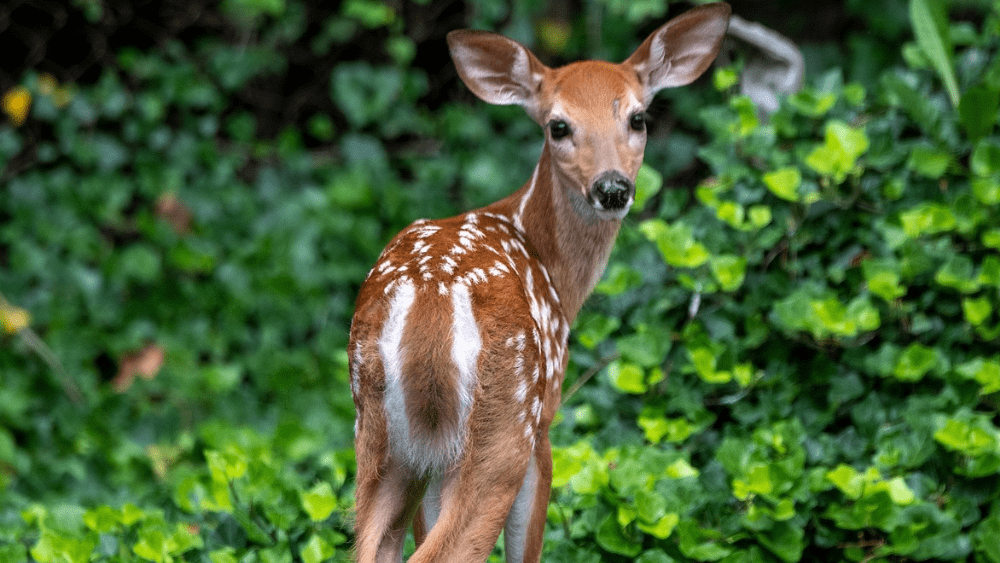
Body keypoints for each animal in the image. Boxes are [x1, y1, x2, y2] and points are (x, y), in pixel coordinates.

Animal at [348, 3, 732, 560]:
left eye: (637, 118)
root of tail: (431, 300)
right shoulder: (546, 418)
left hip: (381, 434)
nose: (613, 187)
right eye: (558, 125)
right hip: (506, 415)